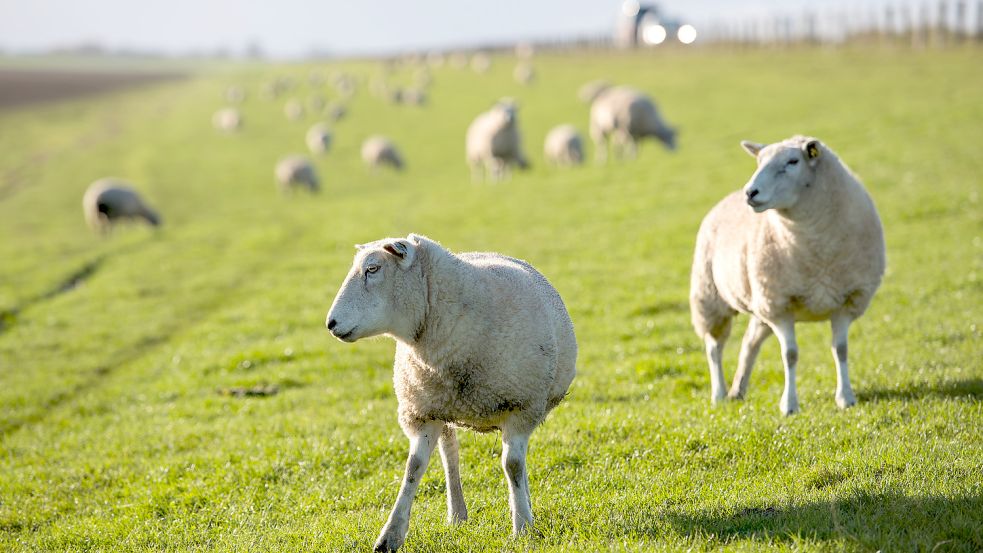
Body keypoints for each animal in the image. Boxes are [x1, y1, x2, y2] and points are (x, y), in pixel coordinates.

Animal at [326, 234, 576, 552]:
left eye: (373, 268)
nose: (330, 324)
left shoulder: (522, 407)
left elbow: (513, 465)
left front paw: (522, 527)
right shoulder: (421, 412)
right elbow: (413, 468)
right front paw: (390, 535)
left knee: (513, 461)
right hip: (440, 404)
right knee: (450, 454)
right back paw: (457, 513)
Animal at [688, 136, 888, 414]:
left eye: (793, 161)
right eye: (759, 161)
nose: (750, 192)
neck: (815, 245)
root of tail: (726, 198)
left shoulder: (846, 300)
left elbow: (841, 350)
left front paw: (845, 397)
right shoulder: (780, 307)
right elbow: (790, 355)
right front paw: (790, 404)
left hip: (760, 304)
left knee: (749, 342)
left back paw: (738, 390)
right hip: (711, 296)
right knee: (714, 347)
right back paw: (718, 393)